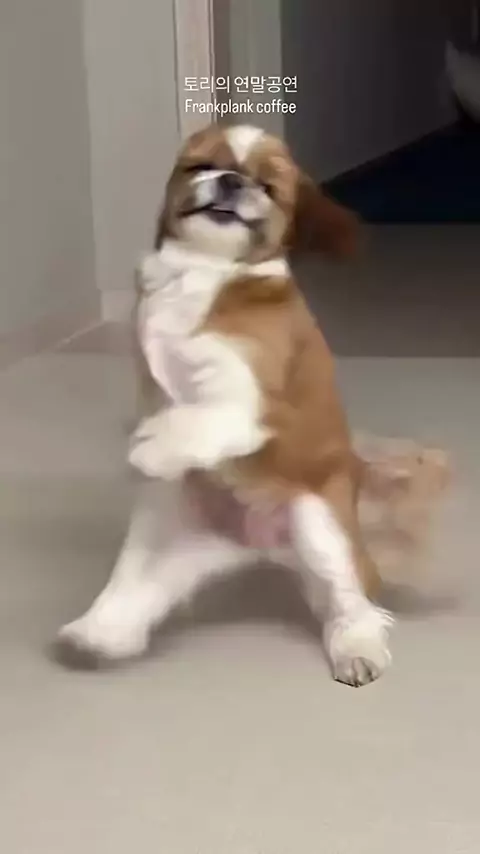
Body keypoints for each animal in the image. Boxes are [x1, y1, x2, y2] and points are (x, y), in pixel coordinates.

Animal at [56, 125, 448, 685]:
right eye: (202, 167)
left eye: (267, 186)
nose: (231, 181)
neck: (207, 273)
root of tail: (265, 547)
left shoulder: (250, 403)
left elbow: (202, 418)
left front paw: (156, 445)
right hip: (175, 539)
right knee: (141, 589)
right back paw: (103, 629)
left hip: (319, 524)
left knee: (352, 601)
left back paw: (356, 644)